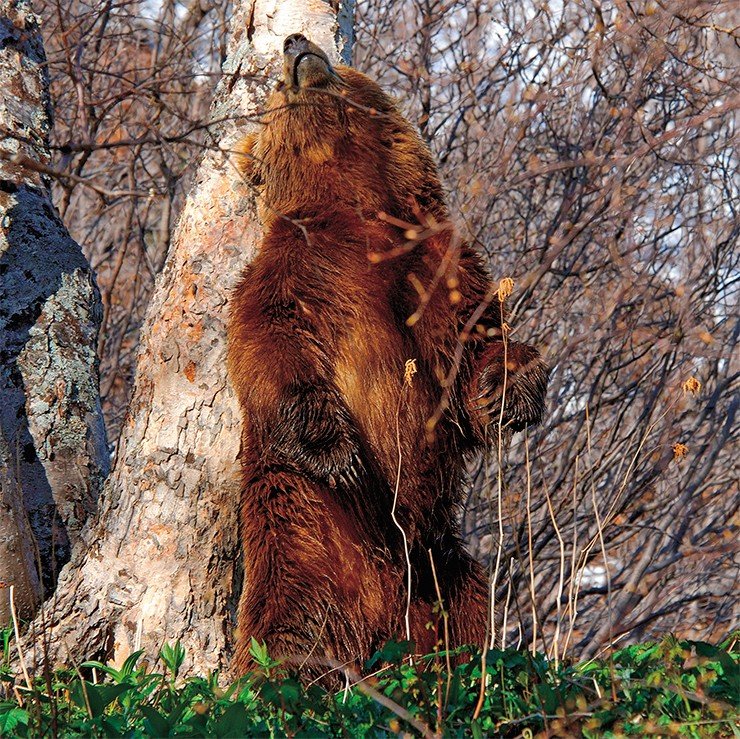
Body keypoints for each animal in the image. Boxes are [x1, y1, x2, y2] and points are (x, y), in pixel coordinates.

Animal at [227, 34, 549, 677]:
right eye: (275, 88)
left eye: (337, 61)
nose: (296, 42)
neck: (357, 202)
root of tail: (381, 623)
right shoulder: (297, 270)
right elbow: (269, 345)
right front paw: (335, 448)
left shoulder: (436, 263)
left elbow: (469, 348)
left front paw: (510, 387)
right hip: (305, 532)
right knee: (288, 629)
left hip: (436, 567)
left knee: (468, 605)